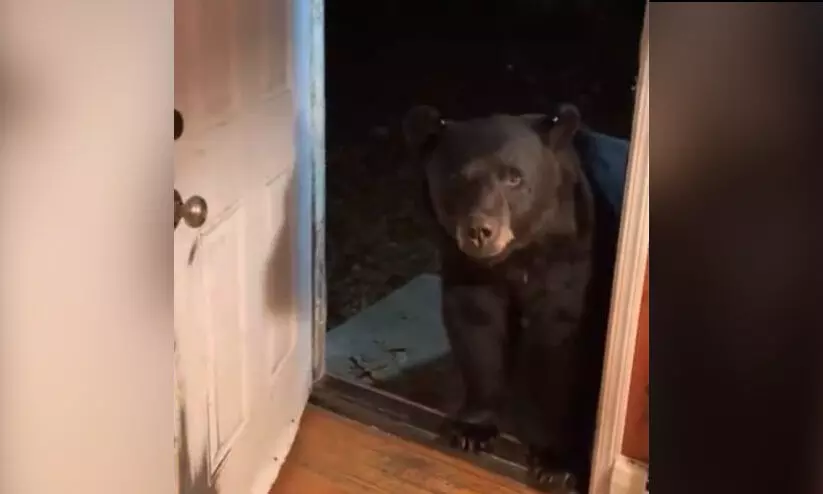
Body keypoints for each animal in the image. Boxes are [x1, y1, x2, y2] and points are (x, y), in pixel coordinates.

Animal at [402, 103, 618, 493]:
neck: (516, 257)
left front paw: (555, 462)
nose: (480, 231)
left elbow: (561, 345)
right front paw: (471, 429)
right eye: (456, 177)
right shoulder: (466, 268)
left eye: (514, 178)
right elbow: (476, 327)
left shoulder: (572, 259)